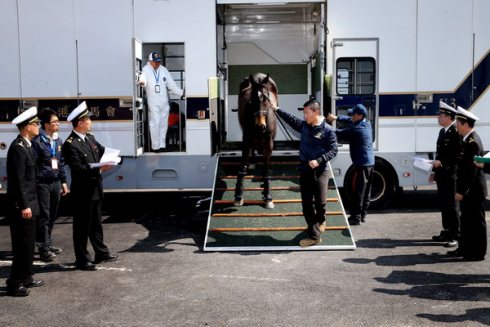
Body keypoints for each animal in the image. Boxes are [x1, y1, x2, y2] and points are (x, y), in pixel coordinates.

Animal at [233, 73, 278, 209]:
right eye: (251, 100)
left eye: (266, 99)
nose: (260, 126)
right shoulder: (246, 140)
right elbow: (242, 167)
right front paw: (238, 196)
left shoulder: (268, 144)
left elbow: (266, 170)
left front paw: (267, 197)